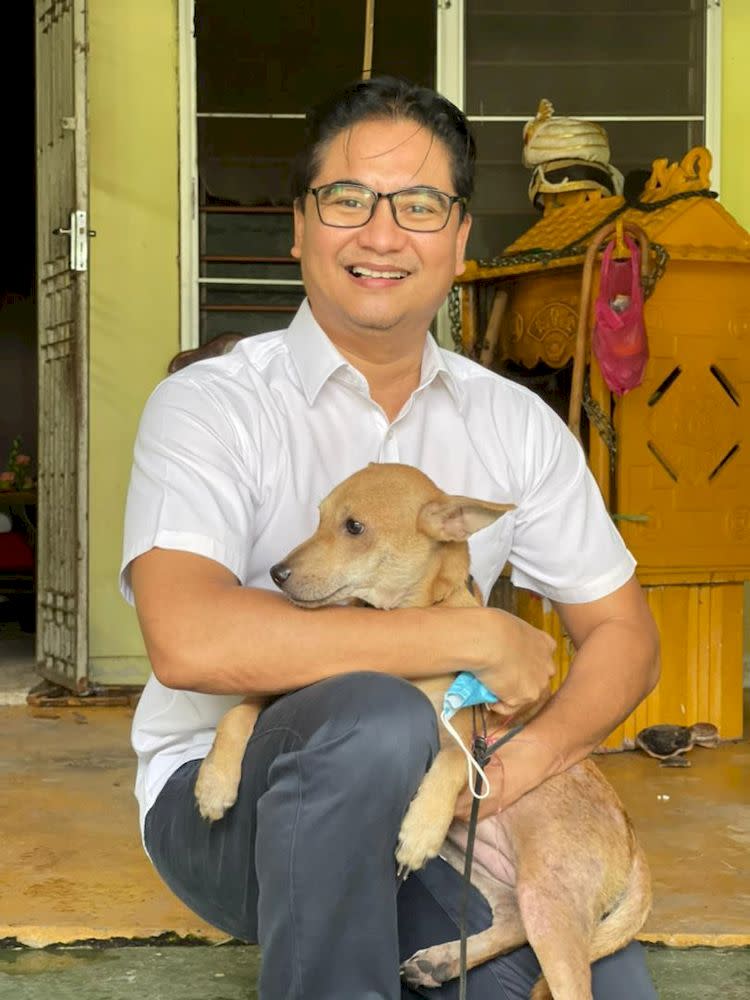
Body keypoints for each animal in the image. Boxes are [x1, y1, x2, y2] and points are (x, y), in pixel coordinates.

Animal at [194, 462, 652, 1000]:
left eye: (354, 527)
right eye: (318, 517)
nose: (276, 573)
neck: (409, 622)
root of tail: (632, 843)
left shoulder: (472, 731)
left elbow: (453, 758)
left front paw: (419, 828)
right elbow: (241, 709)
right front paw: (215, 783)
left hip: (551, 899)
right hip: (489, 868)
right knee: (511, 917)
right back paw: (441, 961)